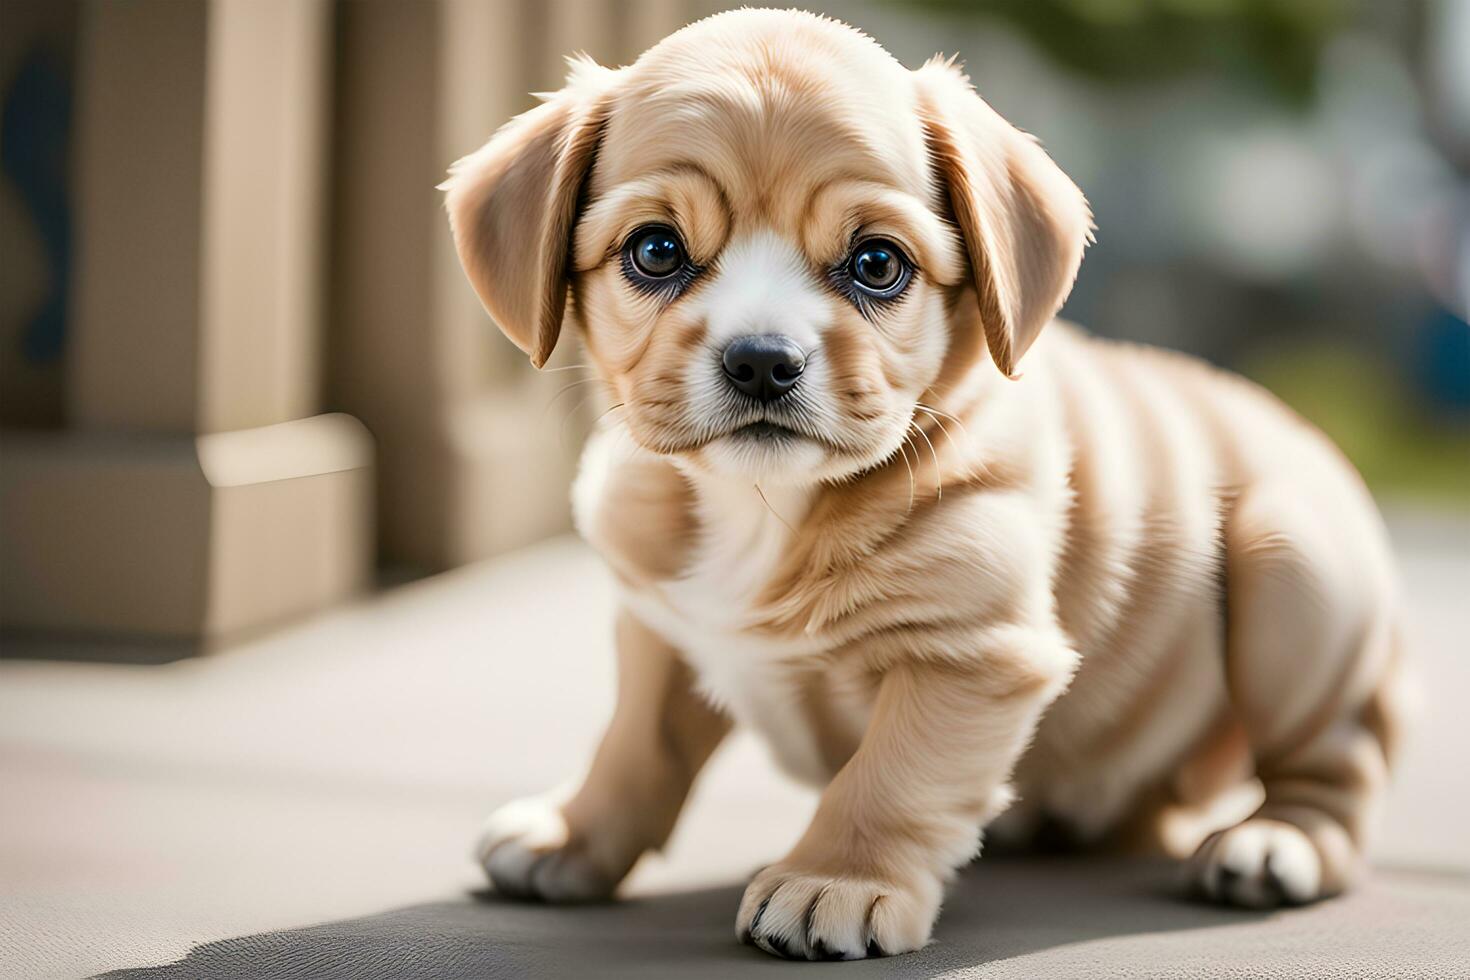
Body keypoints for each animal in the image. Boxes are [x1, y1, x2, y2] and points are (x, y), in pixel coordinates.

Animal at [441, 5, 1405, 957]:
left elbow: (891, 778)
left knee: (1338, 759)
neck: (760, 512)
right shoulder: (660, 629)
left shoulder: (969, 655)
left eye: (877, 264)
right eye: (655, 251)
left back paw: (1273, 842)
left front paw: (837, 880)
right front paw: (574, 832)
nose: (762, 362)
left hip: (1290, 572)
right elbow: (637, 744)